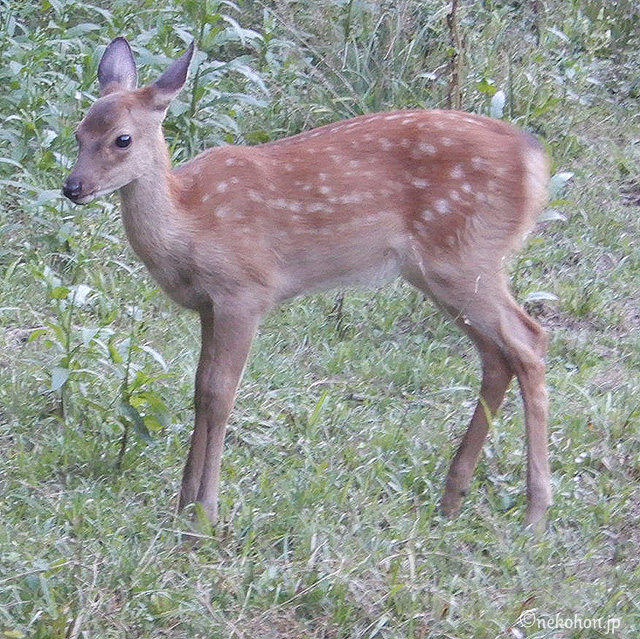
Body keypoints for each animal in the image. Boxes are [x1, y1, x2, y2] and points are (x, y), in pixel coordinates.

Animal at [63, 37, 552, 532]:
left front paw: (206, 514)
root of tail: (535, 159)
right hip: (441, 272)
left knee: (529, 340)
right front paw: (183, 503)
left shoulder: (245, 291)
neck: (191, 223)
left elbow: (220, 395)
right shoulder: (208, 305)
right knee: (497, 355)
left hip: (465, 257)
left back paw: (535, 511)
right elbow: (199, 390)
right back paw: (453, 497)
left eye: (122, 138)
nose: (73, 187)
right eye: (79, 131)